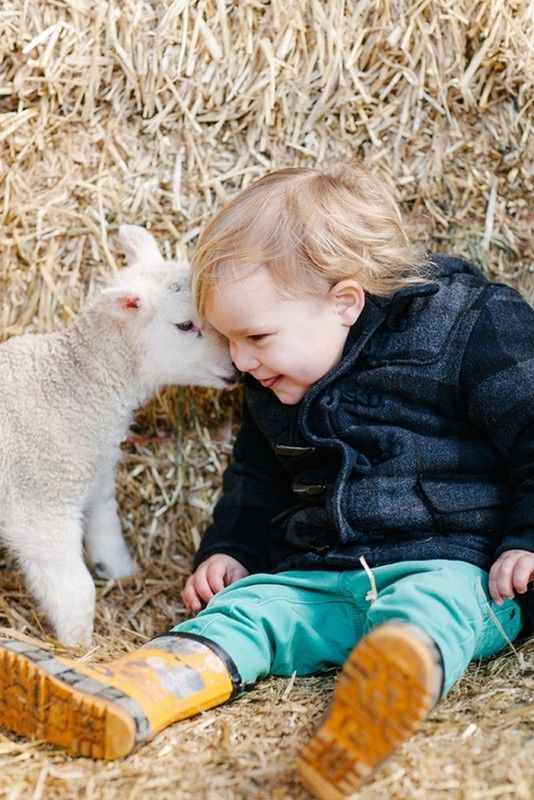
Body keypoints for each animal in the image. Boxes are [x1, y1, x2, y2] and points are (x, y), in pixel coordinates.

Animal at [0, 222, 234, 648]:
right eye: (184, 325)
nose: (236, 367)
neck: (72, 386)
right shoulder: (42, 503)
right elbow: (76, 590)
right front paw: (79, 646)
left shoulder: (97, 477)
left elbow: (108, 534)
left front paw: (123, 574)